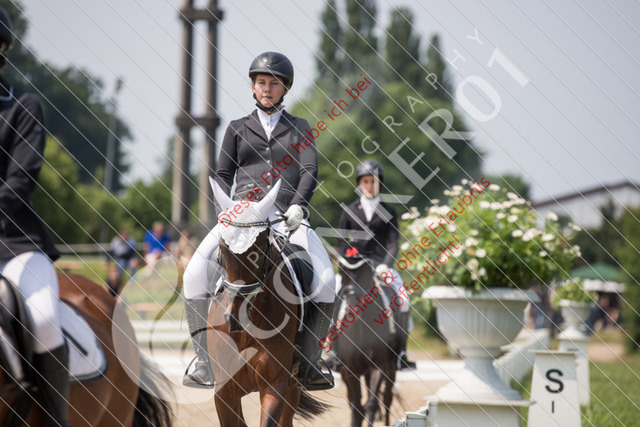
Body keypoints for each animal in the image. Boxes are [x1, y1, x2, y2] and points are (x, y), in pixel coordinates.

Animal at [207, 179, 328, 427]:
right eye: (222, 248)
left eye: (260, 248)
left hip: (293, 384)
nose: (234, 318)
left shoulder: (275, 384)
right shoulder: (224, 391)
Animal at [336, 256, 398, 427]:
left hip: (391, 367)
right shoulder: (350, 370)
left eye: (366, 277)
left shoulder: (379, 366)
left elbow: (371, 404)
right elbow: (357, 408)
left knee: (387, 399)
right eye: (342, 275)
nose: (353, 310)